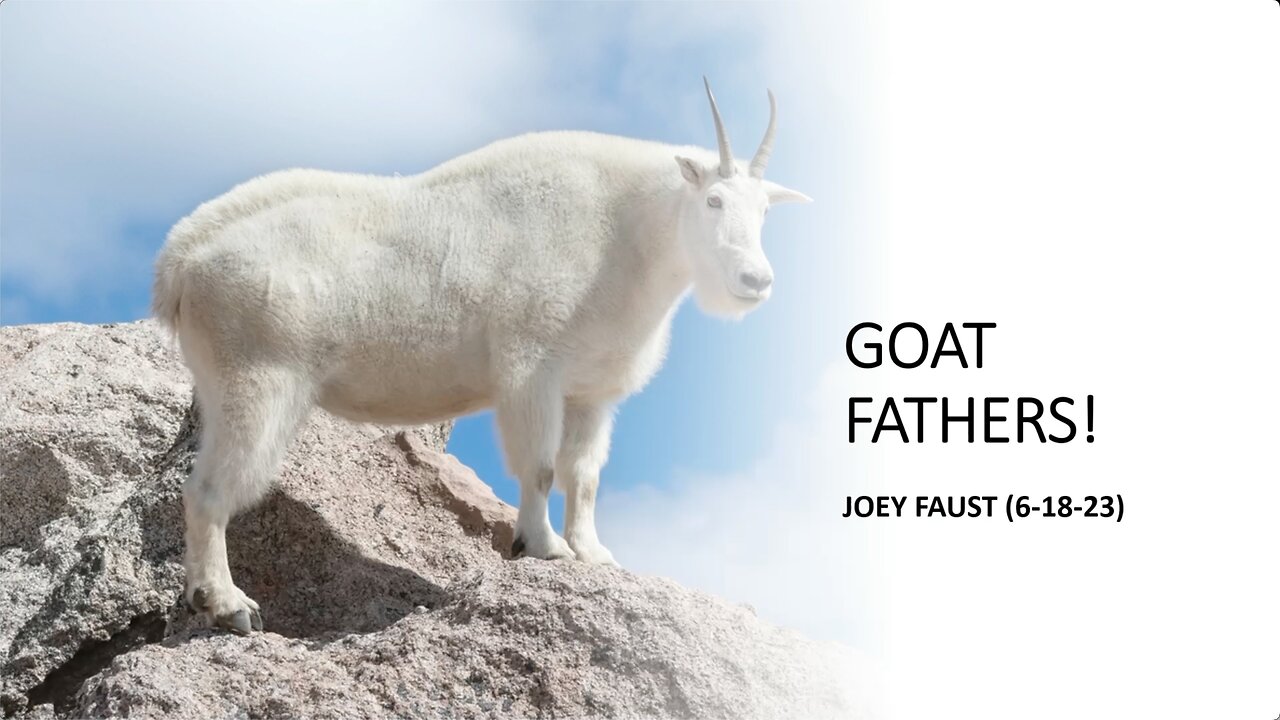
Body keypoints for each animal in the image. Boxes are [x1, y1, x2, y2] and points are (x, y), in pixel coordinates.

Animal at [152, 79, 810, 634]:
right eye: (714, 201)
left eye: (765, 211)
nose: (755, 280)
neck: (628, 235)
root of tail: (182, 259)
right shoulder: (531, 366)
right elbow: (540, 467)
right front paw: (542, 547)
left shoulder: (591, 391)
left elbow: (585, 475)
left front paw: (594, 555)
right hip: (257, 376)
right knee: (207, 491)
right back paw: (228, 605)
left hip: (220, 379)